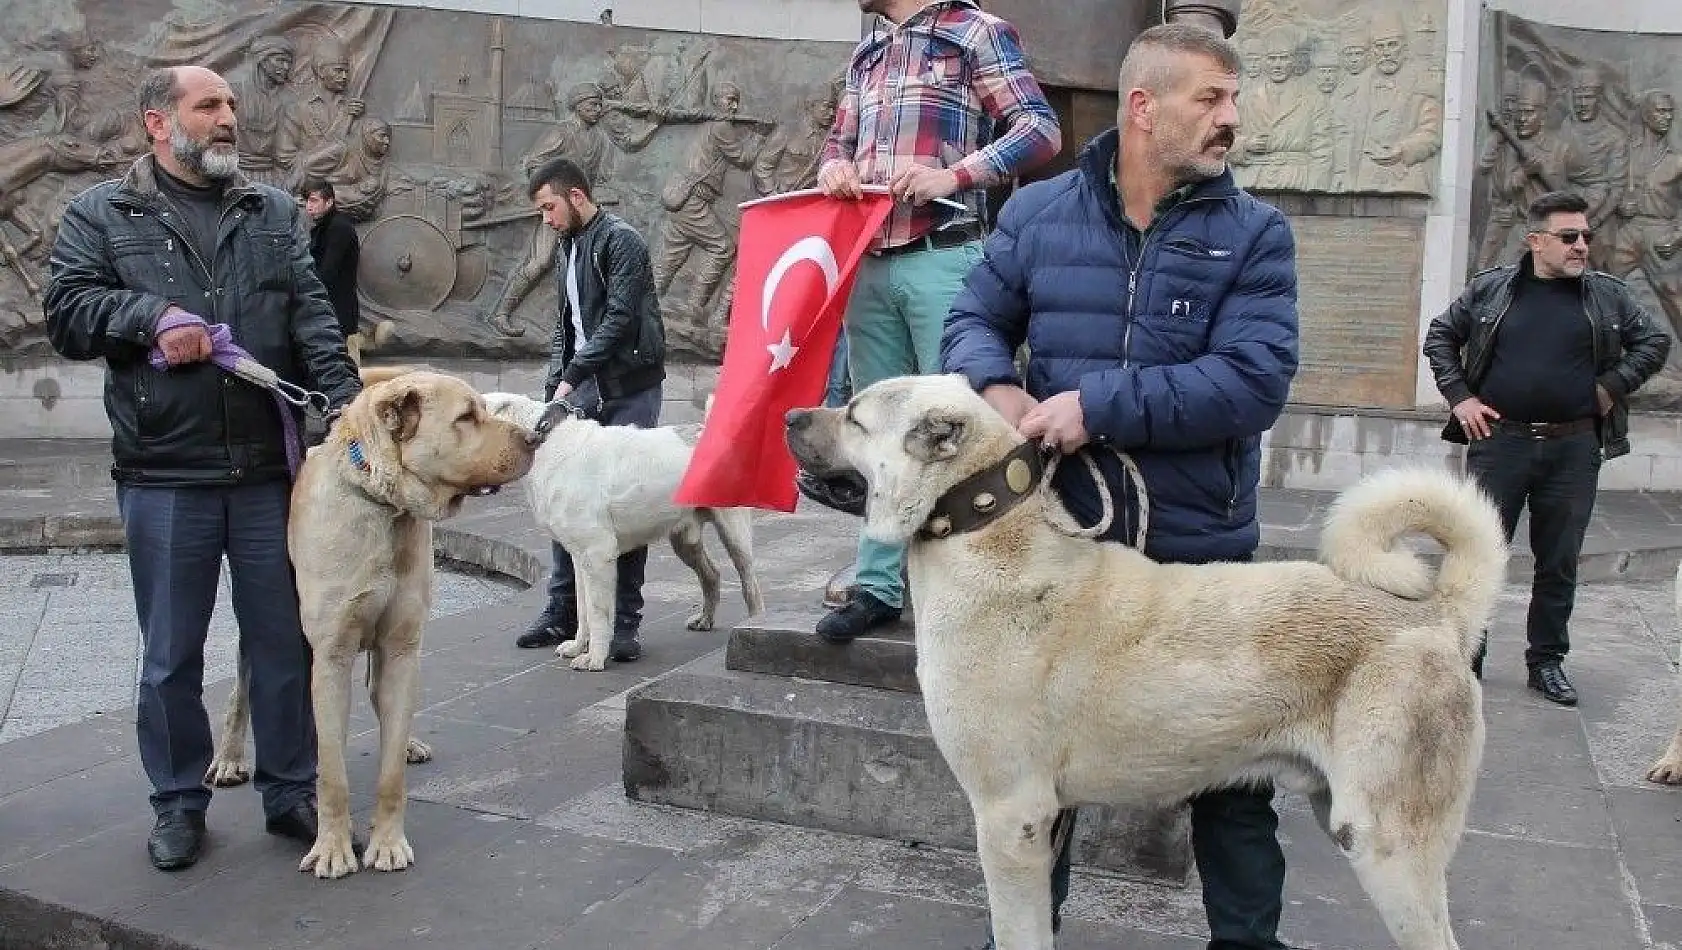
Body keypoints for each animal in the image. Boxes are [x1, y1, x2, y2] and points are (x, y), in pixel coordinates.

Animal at [207, 366, 531, 881]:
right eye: (466, 417)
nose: (535, 438)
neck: (384, 506)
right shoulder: (332, 652)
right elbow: (331, 774)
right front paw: (333, 849)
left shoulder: (401, 644)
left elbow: (390, 773)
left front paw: (388, 844)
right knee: (242, 690)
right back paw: (229, 759)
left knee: (382, 697)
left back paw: (409, 741)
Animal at [484, 388, 766, 669]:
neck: (543, 441)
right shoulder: (579, 556)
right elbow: (583, 609)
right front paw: (578, 647)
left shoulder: (598, 554)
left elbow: (598, 613)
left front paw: (595, 658)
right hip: (685, 540)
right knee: (712, 574)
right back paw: (705, 620)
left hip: (734, 531)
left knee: (750, 583)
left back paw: (756, 626)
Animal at [787, 371, 1513, 948]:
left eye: (855, 415)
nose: (791, 415)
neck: (986, 531)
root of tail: (1439, 618)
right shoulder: (1043, 823)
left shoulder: (1008, 817)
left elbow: (1020, 929)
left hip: (1385, 844)